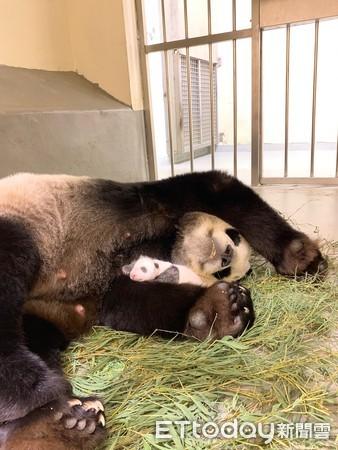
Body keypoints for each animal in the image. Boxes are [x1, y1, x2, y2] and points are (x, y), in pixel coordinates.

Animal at [0, 172, 326, 446]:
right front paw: (302, 257)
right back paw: (39, 392)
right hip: (27, 224)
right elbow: (220, 190)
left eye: (226, 272)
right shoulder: (154, 201)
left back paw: (60, 426)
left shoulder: (114, 284)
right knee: (12, 262)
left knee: (36, 334)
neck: (170, 239)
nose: (224, 257)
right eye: (232, 240)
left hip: (45, 311)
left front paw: (220, 312)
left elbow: (134, 301)